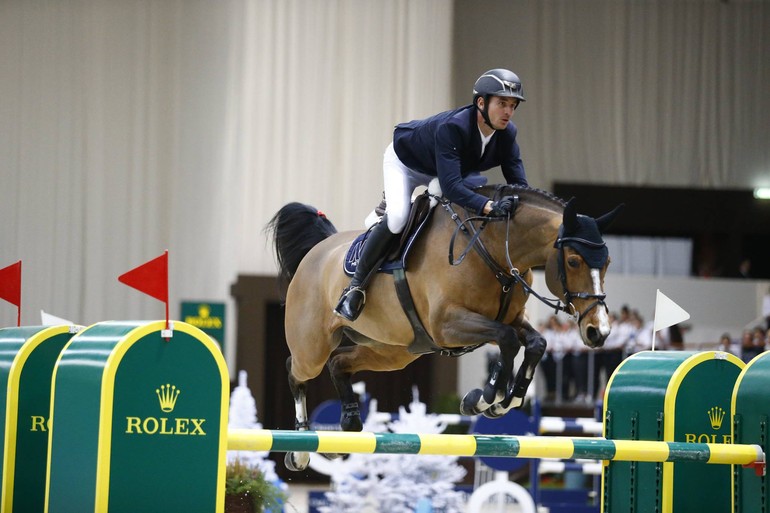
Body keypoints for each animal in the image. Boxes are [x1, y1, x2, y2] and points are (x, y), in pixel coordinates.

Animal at [268, 186, 620, 470]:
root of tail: (319, 250)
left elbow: (535, 344)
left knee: (339, 363)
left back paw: (348, 426)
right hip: (313, 346)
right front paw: (484, 398)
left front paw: (505, 402)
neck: (492, 251)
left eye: (607, 263)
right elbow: (507, 340)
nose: (598, 331)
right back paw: (301, 450)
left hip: (394, 351)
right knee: (294, 369)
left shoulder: (509, 319)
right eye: (573, 261)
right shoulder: (448, 325)